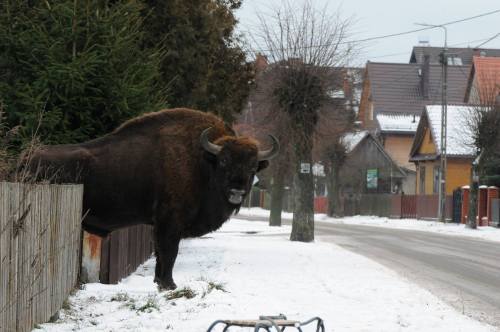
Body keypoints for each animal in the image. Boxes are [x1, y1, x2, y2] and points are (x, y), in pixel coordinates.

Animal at [27, 108, 278, 288]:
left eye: (253, 167)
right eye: (224, 161)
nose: (237, 192)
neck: (203, 162)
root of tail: (26, 158)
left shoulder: (160, 225)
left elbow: (160, 254)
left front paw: (159, 282)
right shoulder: (170, 222)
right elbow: (169, 252)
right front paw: (169, 284)